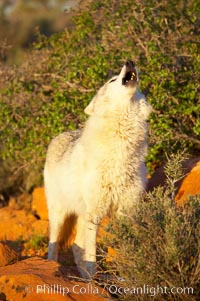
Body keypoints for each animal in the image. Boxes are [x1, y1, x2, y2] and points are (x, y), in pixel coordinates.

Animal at [43, 59, 152, 278]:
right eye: (112, 80)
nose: (130, 61)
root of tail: (58, 136)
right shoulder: (95, 214)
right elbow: (92, 256)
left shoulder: (126, 211)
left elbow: (126, 249)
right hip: (60, 214)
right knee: (54, 245)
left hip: (81, 216)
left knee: (76, 247)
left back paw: (85, 279)